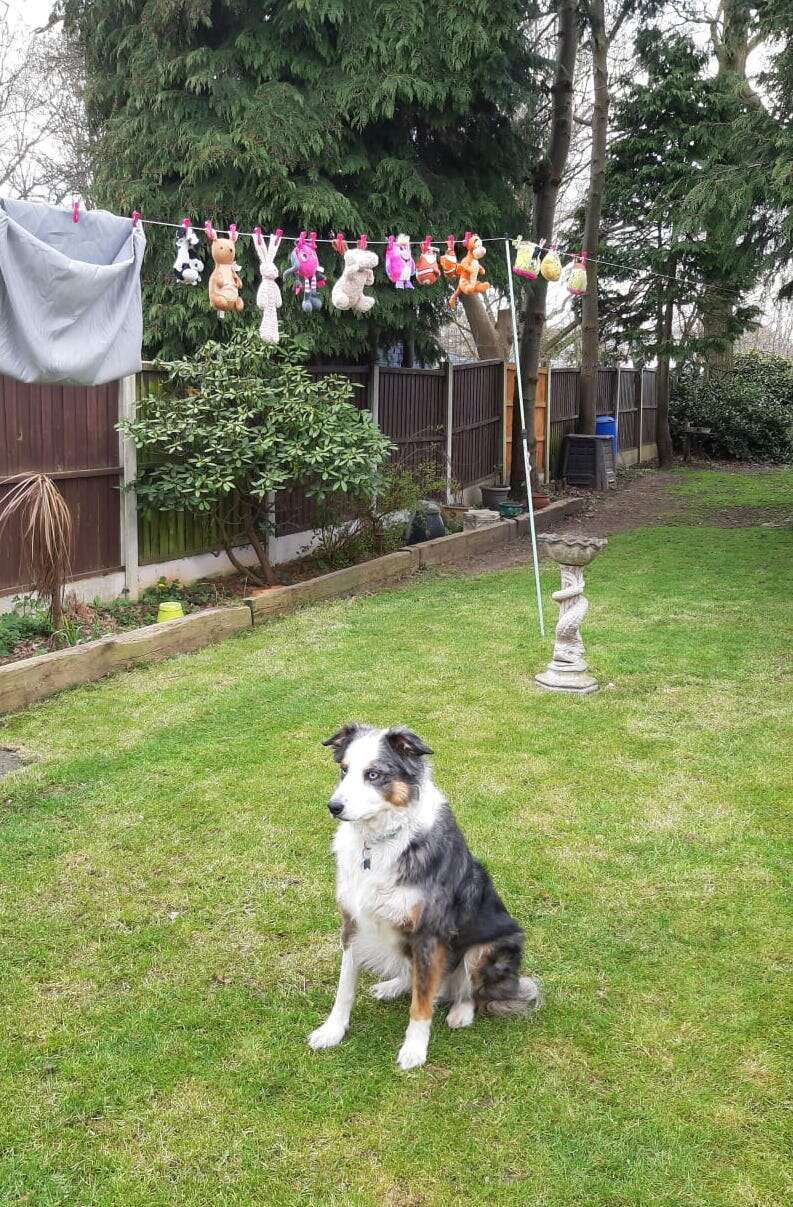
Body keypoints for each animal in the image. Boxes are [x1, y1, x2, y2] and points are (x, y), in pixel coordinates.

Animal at [306, 719, 540, 1071]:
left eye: (373, 774)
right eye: (344, 770)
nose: (334, 807)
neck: (379, 841)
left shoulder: (429, 932)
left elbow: (421, 1004)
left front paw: (414, 1050)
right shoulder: (352, 922)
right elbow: (344, 987)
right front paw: (332, 1030)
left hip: (489, 948)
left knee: (463, 989)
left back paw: (461, 1012)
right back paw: (393, 986)